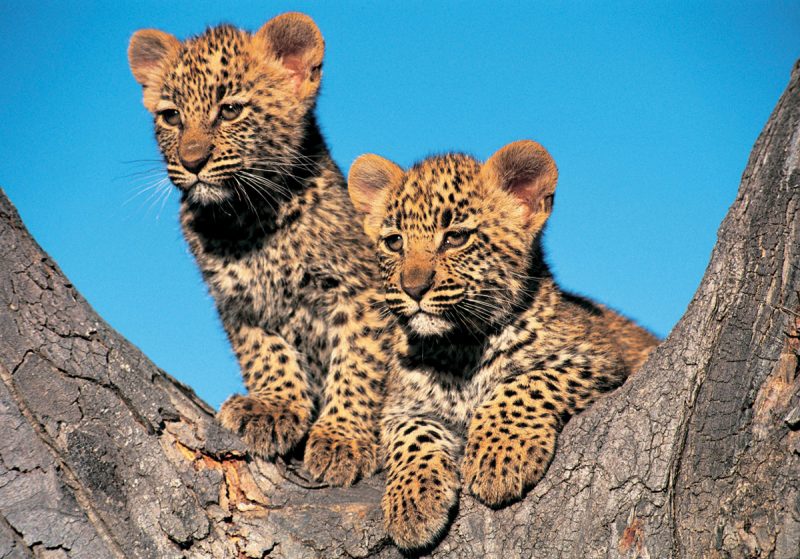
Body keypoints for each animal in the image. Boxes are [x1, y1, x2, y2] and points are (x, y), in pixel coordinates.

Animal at [127, 13, 391, 486]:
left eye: (230, 110)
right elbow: (265, 352)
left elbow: (358, 364)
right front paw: (272, 407)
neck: (247, 221)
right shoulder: (238, 301)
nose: (192, 162)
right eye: (171, 117)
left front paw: (343, 439)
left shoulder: (360, 293)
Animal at [348, 140, 660, 550]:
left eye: (455, 238)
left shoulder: (599, 359)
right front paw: (412, 504)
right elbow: (411, 433)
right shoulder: (399, 408)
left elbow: (524, 383)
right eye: (394, 242)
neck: (459, 349)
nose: (413, 289)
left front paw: (498, 458)